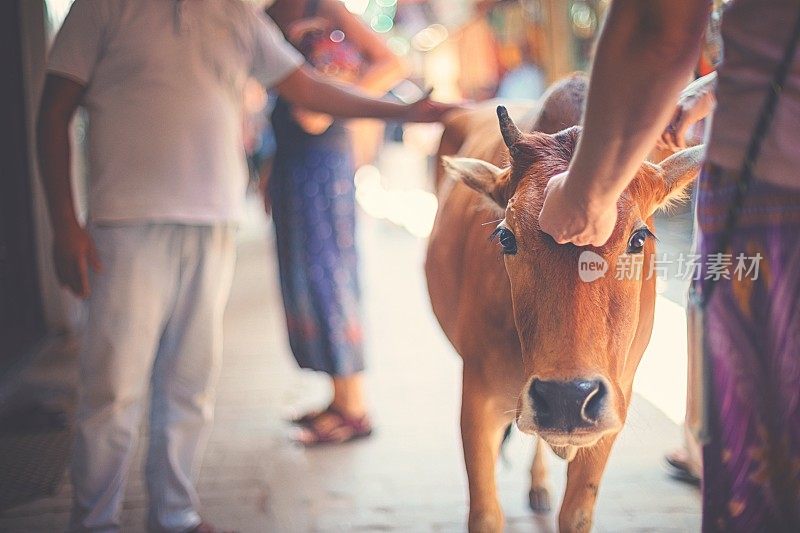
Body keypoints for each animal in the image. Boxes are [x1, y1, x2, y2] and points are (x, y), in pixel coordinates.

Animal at [424, 76, 700, 532]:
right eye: (506, 236)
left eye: (639, 237)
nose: (567, 398)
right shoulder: (477, 399)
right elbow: (485, 514)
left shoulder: (614, 408)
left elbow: (576, 514)